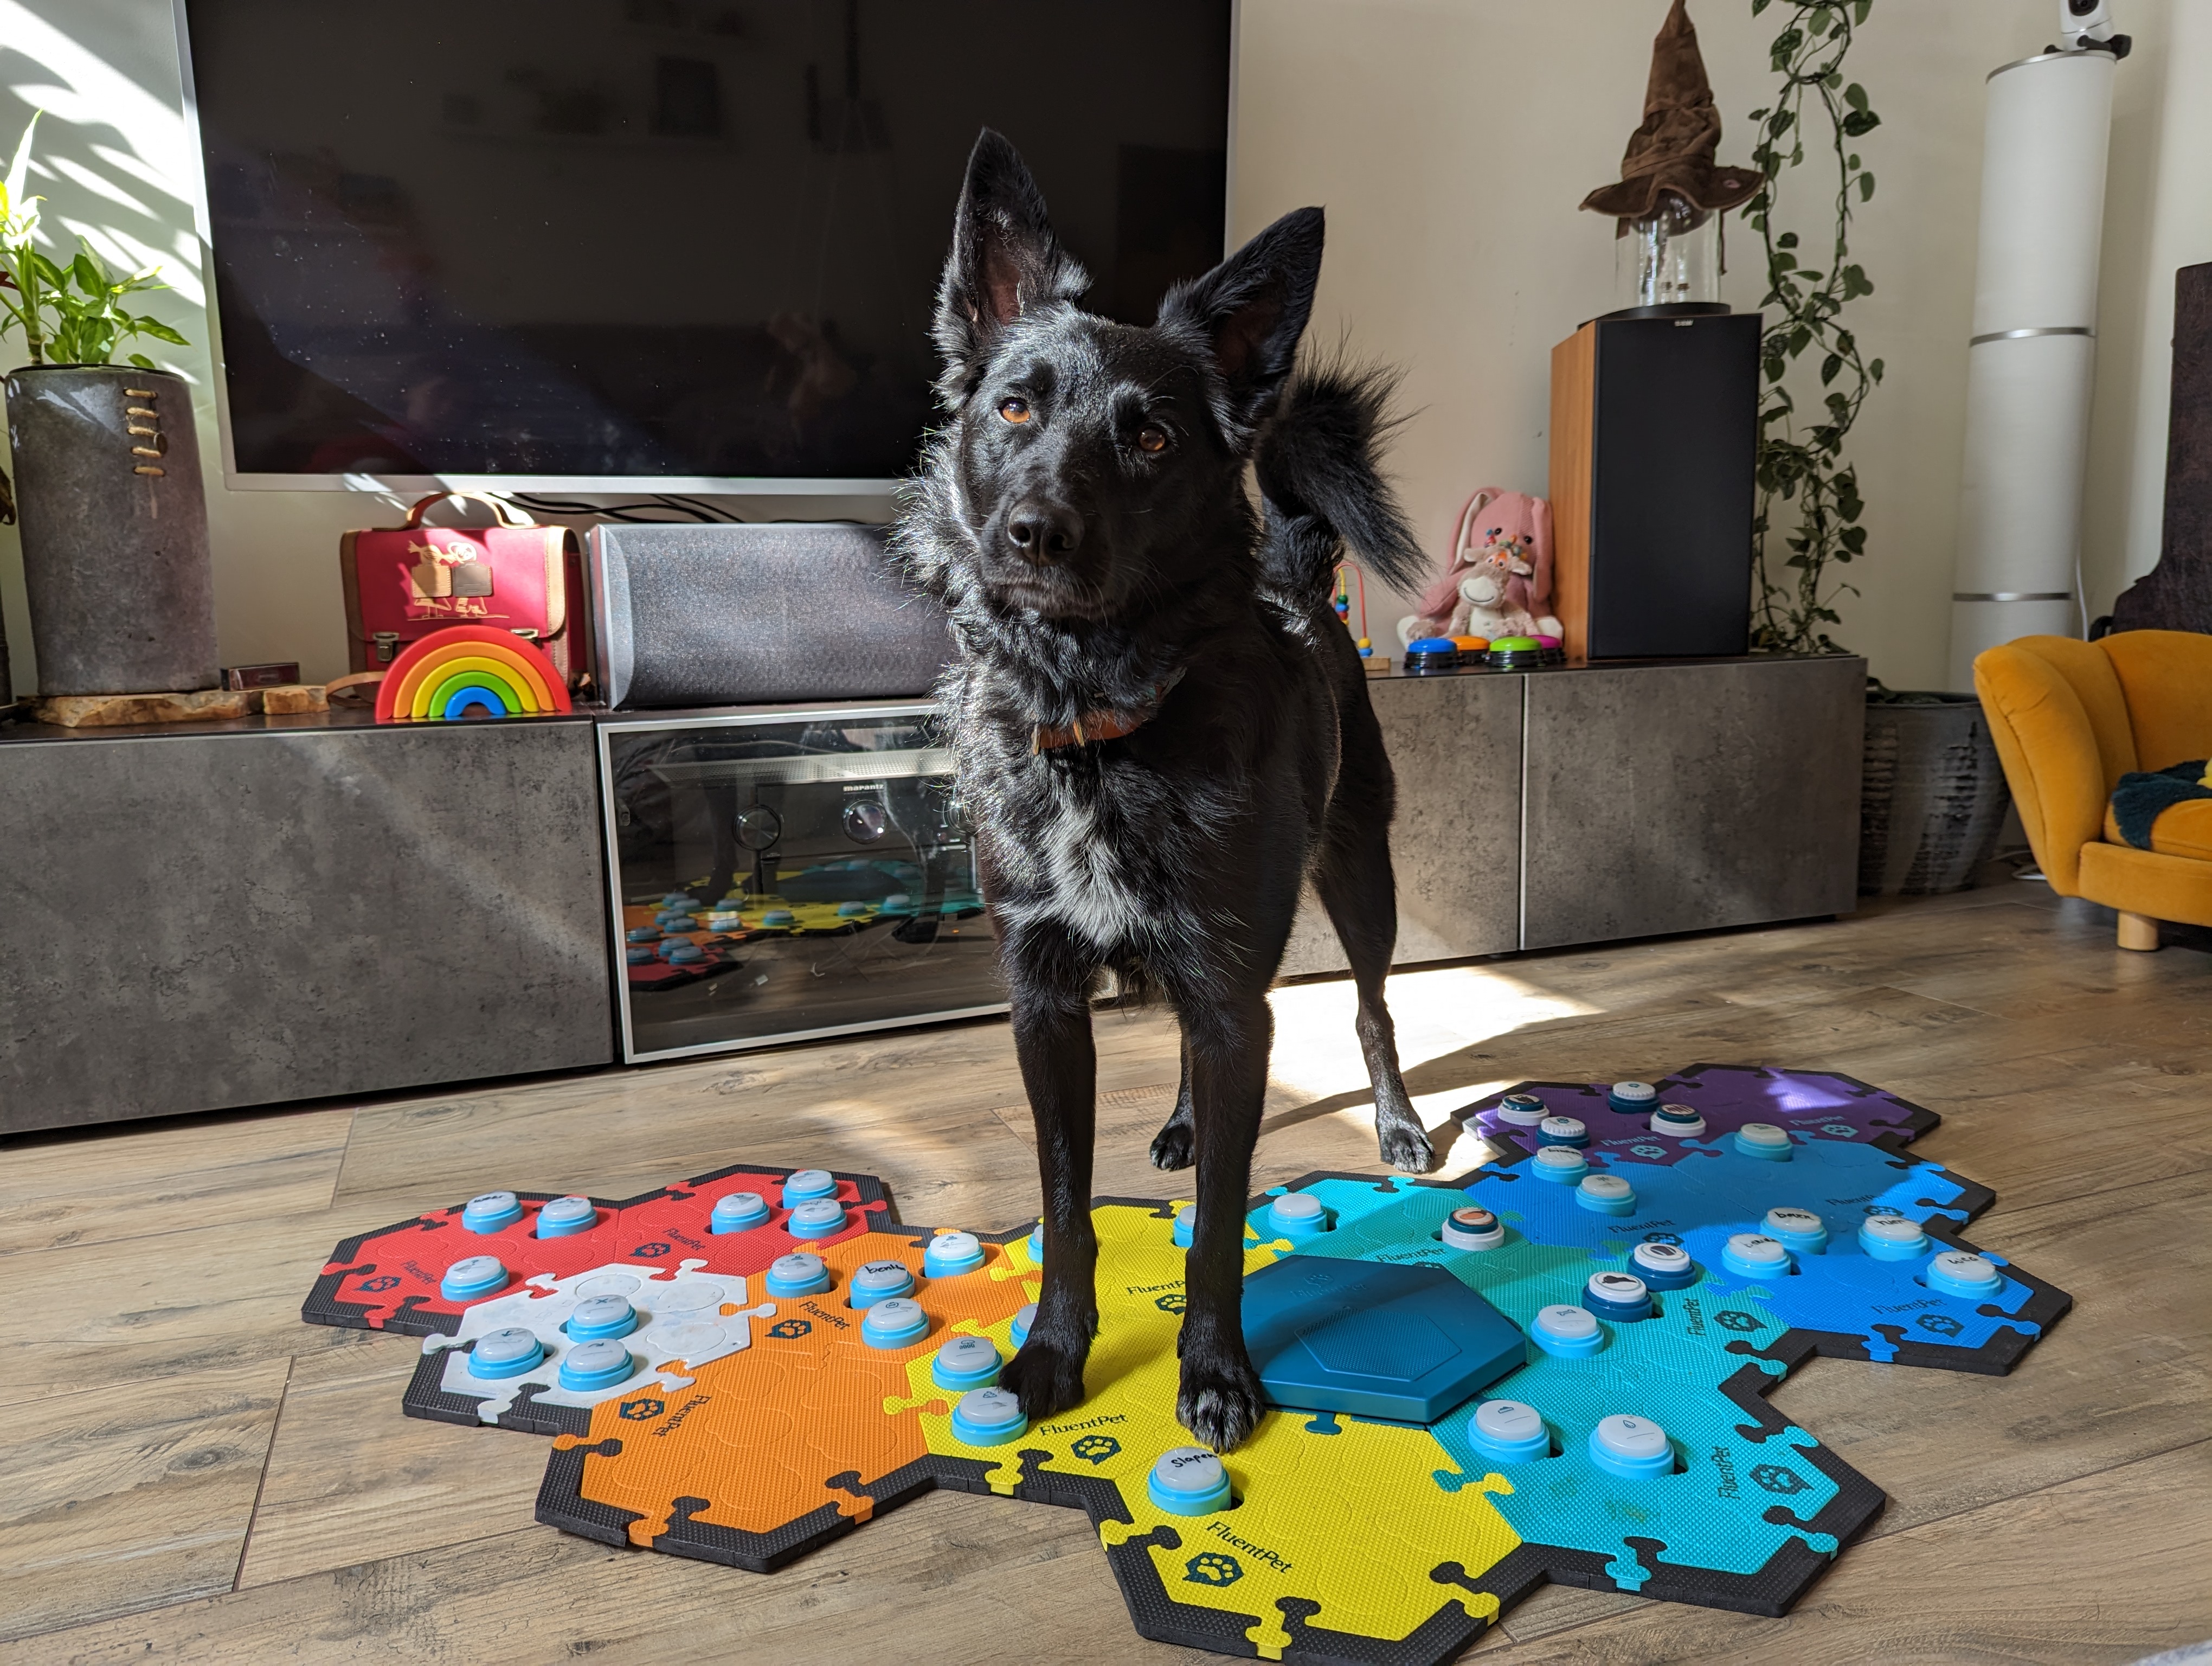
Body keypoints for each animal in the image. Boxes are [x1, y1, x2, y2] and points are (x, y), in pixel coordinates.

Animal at [898, 133, 1433, 1451]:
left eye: (1150, 440)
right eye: (1014, 406)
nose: (1033, 534)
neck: (1097, 726)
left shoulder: (1239, 986)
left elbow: (1225, 1233)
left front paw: (1216, 1372)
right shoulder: (1044, 998)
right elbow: (1064, 1201)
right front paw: (1051, 1355)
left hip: (1360, 871)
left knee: (1373, 1008)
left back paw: (1397, 1121)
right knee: (1201, 1043)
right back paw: (1190, 1120)